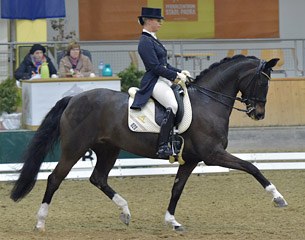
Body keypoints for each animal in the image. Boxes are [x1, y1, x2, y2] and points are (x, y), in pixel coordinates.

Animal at [9, 54, 286, 231]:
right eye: (263, 81)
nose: (258, 114)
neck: (209, 102)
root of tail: (74, 98)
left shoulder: (192, 159)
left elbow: (177, 189)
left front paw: (172, 221)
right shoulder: (213, 154)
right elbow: (252, 167)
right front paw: (278, 197)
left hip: (108, 149)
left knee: (98, 178)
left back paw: (125, 212)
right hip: (74, 148)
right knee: (54, 178)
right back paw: (40, 222)